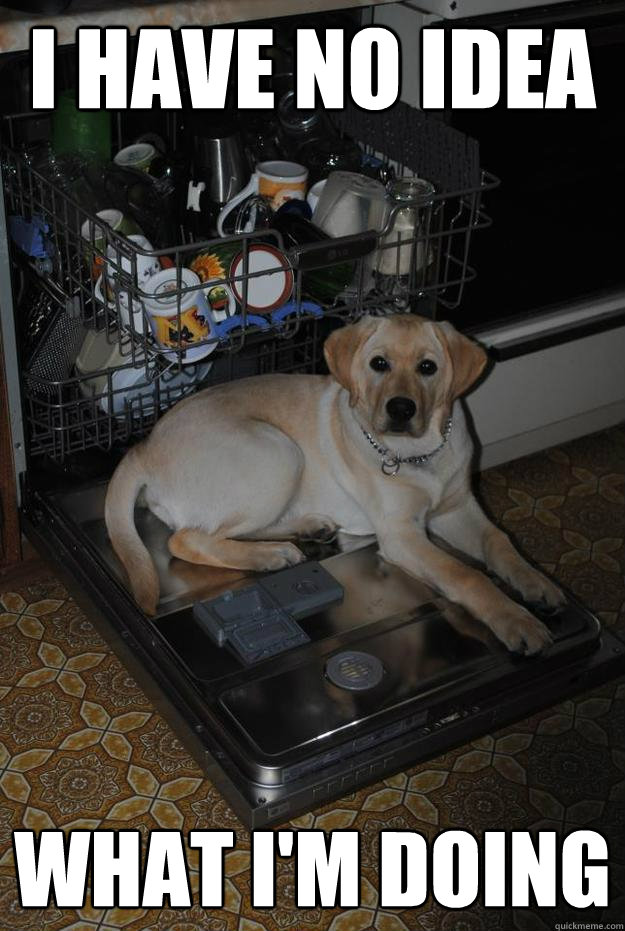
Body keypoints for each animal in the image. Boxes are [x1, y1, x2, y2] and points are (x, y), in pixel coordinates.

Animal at [105, 316, 564, 652]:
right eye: (378, 363)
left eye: (428, 368)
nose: (401, 409)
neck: (418, 455)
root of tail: (144, 446)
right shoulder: (401, 535)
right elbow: (466, 575)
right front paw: (515, 620)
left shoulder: (458, 507)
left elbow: (499, 541)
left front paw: (537, 584)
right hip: (278, 452)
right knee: (187, 539)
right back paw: (268, 555)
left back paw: (307, 527)